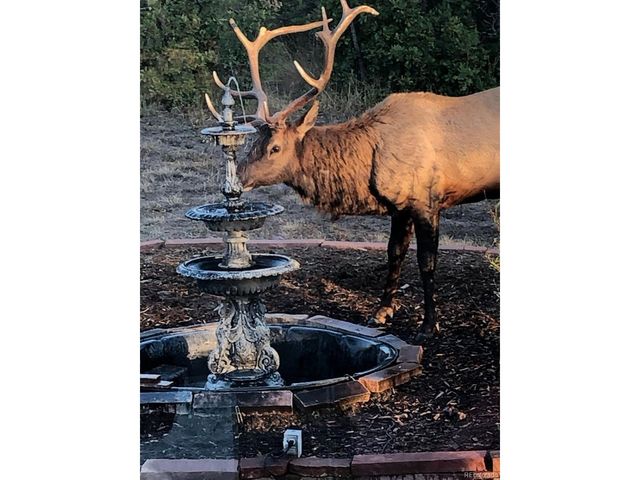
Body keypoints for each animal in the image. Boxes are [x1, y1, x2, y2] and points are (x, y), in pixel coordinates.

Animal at [206, 1, 499, 342]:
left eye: (275, 148)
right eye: (253, 142)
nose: (237, 178)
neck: (368, 168)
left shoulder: (427, 201)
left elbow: (427, 262)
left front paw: (428, 325)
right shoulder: (400, 206)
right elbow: (393, 252)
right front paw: (381, 311)